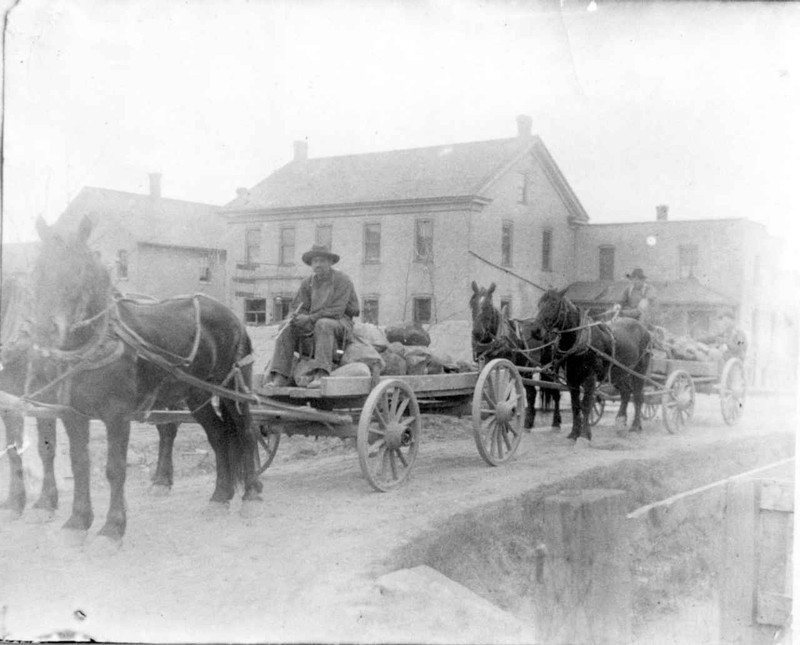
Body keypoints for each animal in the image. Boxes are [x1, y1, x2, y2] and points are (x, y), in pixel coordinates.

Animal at [24, 216, 262, 544]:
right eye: (37, 270)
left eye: (79, 271)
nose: (45, 332)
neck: (98, 342)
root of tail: (234, 317)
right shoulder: (72, 414)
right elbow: (80, 464)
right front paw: (78, 521)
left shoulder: (117, 414)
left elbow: (114, 468)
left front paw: (112, 528)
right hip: (196, 394)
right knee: (219, 435)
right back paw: (219, 497)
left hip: (232, 390)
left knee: (246, 432)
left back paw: (251, 496)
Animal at [468, 280, 564, 428]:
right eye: (472, 303)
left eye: (488, 306)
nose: (477, 333)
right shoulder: (489, 366)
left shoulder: (506, 366)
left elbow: (504, 394)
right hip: (527, 369)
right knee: (531, 393)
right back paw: (529, 421)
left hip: (552, 367)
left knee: (555, 391)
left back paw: (556, 420)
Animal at [528, 290, 652, 440]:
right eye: (539, 304)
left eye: (553, 304)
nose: (535, 331)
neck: (580, 340)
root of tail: (644, 329)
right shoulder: (572, 379)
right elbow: (575, 405)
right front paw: (573, 433)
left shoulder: (590, 377)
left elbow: (586, 404)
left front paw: (584, 435)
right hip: (617, 373)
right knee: (626, 393)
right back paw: (620, 423)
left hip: (640, 369)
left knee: (638, 396)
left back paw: (635, 426)